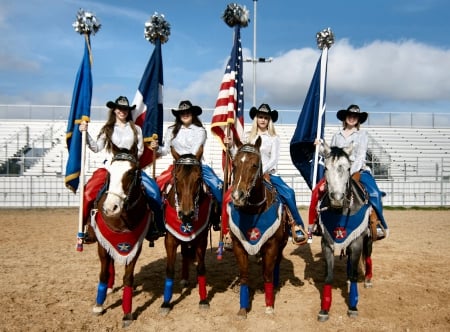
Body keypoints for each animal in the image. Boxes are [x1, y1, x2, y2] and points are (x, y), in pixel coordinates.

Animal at [89, 150, 150, 326]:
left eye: (131, 172)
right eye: (109, 173)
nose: (111, 208)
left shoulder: (135, 246)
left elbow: (128, 277)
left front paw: (127, 313)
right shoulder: (102, 244)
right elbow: (103, 273)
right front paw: (98, 306)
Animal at [160, 147, 213, 316]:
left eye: (198, 178)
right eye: (176, 178)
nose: (187, 214)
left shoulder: (201, 240)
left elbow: (201, 268)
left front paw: (203, 300)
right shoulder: (170, 240)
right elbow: (169, 270)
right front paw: (165, 303)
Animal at [230, 137, 290, 320]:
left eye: (255, 164)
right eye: (234, 164)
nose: (238, 196)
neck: (254, 210)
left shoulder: (271, 246)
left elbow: (267, 274)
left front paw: (269, 306)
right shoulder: (238, 246)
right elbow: (244, 276)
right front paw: (242, 309)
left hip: (282, 243)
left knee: (277, 263)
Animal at [314, 144, 370, 322]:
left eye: (347, 168)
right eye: (325, 168)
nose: (337, 197)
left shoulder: (357, 242)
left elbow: (353, 274)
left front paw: (352, 307)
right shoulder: (326, 243)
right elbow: (329, 276)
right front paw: (324, 309)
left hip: (367, 239)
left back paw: (367, 280)